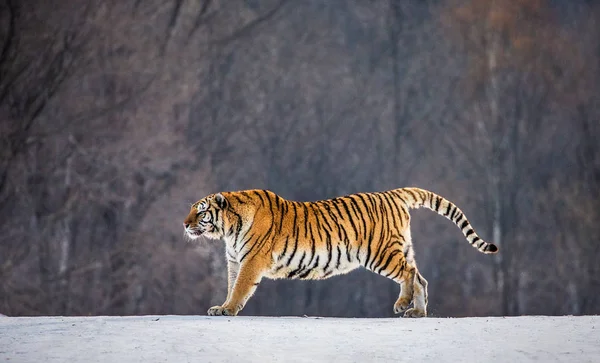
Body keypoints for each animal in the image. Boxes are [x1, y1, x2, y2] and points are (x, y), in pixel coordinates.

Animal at [183, 188, 496, 318]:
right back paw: (417, 312)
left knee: (409, 274)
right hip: (401, 248)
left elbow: (239, 289)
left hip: (380, 253)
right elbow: (230, 286)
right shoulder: (234, 261)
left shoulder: (249, 262)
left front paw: (227, 310)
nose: (184, 224)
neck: (228, 229)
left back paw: (402, 304)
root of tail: (393, 193)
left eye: (201, 211)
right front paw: (221, 306)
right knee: (420, 277)